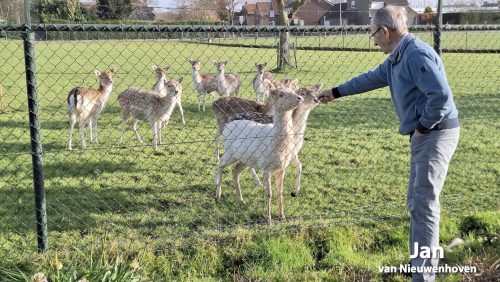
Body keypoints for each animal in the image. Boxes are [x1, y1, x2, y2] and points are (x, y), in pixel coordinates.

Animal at [213, 87, 302, 226]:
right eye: (281, 94)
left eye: (292, 90)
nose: (299, 98)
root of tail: (228, 125)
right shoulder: (265, 166)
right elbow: (269, 193)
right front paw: (269, 220)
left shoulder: (282, 168)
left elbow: (280, 192)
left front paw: (282, 217)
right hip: (230, 152)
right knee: (220, 164)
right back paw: (218, 196)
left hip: (245, 159)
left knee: (235, 170)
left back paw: (241, 200)